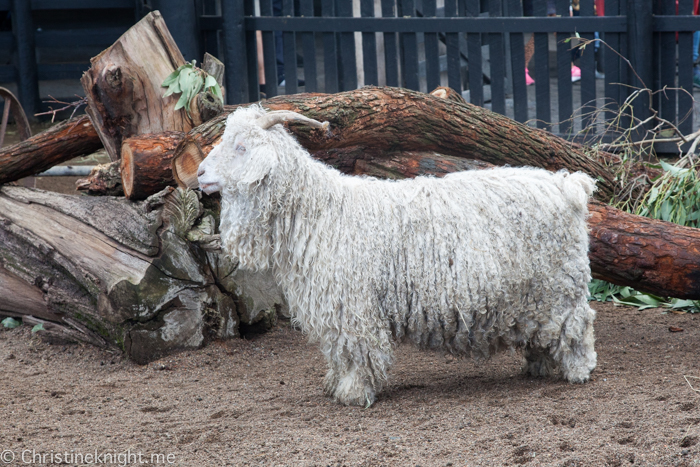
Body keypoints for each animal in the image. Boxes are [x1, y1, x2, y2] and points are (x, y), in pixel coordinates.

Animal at [197, 105, 596, 406]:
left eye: (241, 147)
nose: (199, 173)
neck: (319, 211)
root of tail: (568, 186)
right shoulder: (333, 308)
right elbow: (337, 351)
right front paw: (335, 385)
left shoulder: (352, 306)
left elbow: (356, 350)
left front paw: (354, 393)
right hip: (532, 296)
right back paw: (539, 366)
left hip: (559, 285)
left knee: (578, 324)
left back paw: (578, 370)